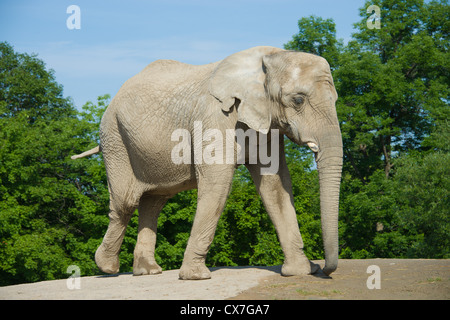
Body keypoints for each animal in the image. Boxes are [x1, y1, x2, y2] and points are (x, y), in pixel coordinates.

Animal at [72, 45, 342, 280]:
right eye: (298, 100)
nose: (324, 270)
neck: (269, 57)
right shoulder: (215, 115)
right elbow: (217, 182)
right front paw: (195, 277)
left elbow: (275, 185)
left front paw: (299, 271)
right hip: (115, 137)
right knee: (125, 202)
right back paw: (107, 267)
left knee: (154, 202)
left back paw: (147, 271)